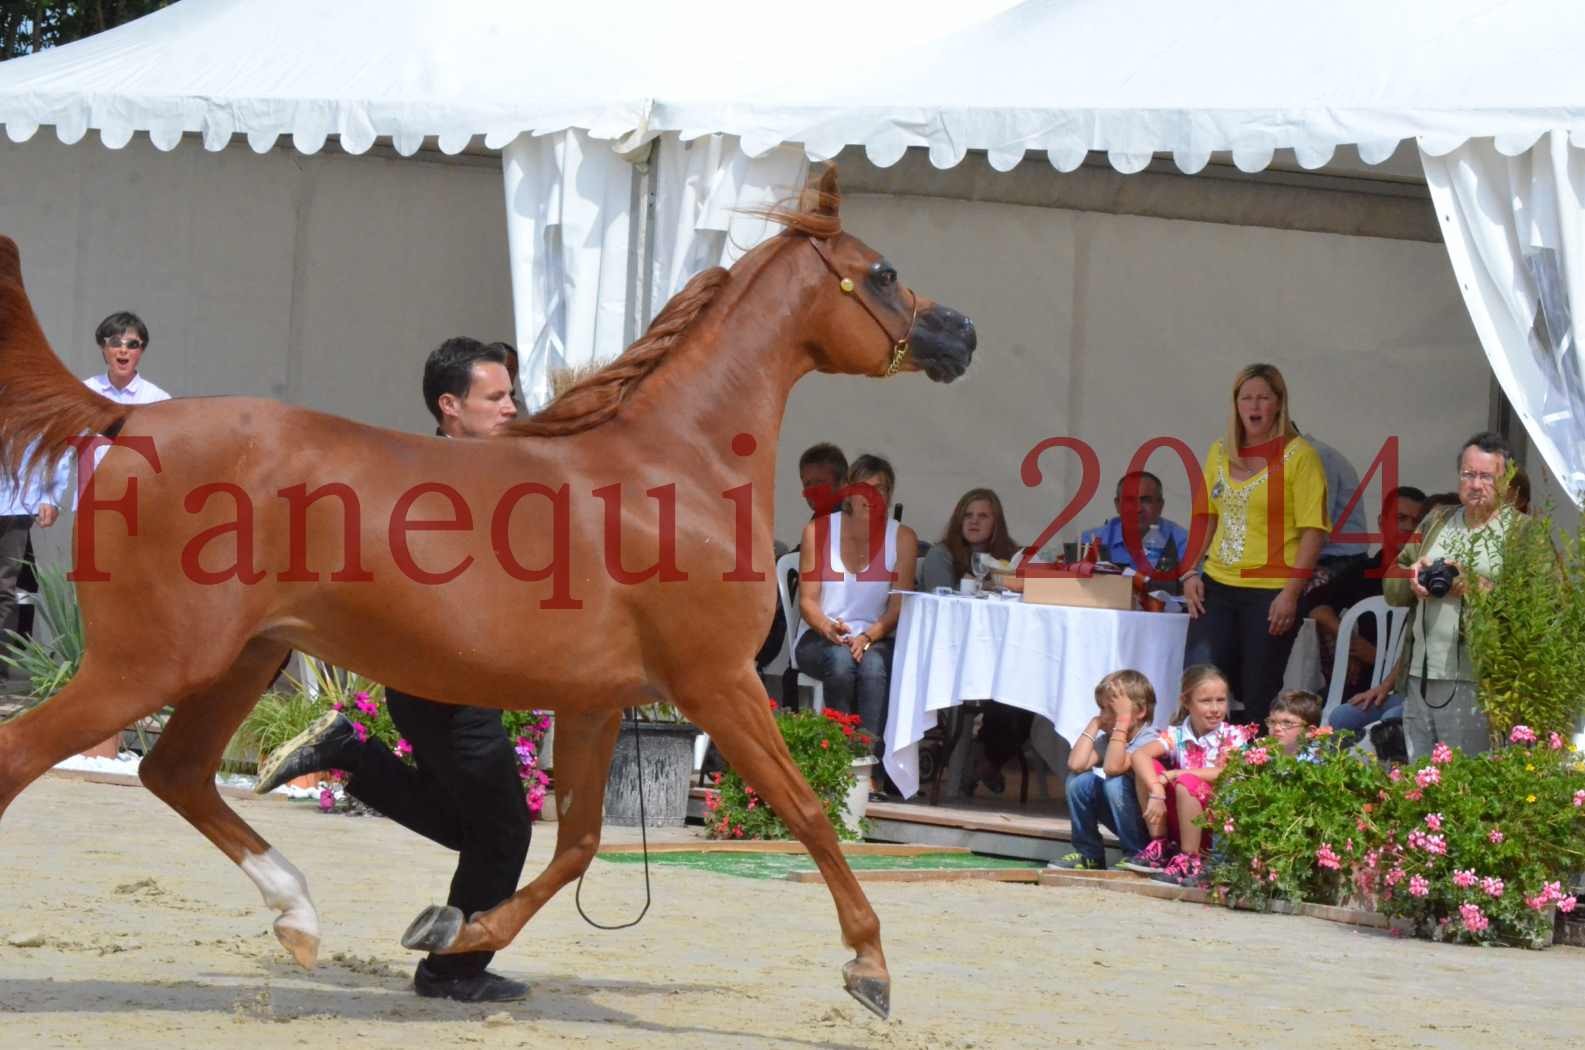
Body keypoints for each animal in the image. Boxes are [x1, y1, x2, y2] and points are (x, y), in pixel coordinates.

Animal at [0, 170, 976, 1021]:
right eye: (881, 271)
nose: (960, 333)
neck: (674, 470)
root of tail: (131, 418)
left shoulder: (597, 702)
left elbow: (576, 845)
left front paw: (453, 933)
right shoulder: (717, 681)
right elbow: (808, 815)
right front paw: (869, 968)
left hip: (242, 658)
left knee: (176, 772)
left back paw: (301, 916)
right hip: (150, 662)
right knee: (31, 757)